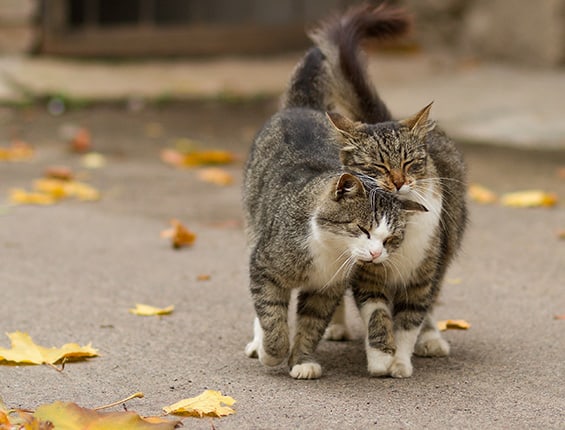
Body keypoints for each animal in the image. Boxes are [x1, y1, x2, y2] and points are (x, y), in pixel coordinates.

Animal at [308, 3, 468, 376]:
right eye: (379, 167)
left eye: (408, 163)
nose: (398, 181)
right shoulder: (367, 274)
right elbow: (378, 315)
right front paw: (381, 356)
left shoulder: (424, 271)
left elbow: (411, 319)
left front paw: (401, 360)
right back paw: (338, 325)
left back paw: (431, 338)